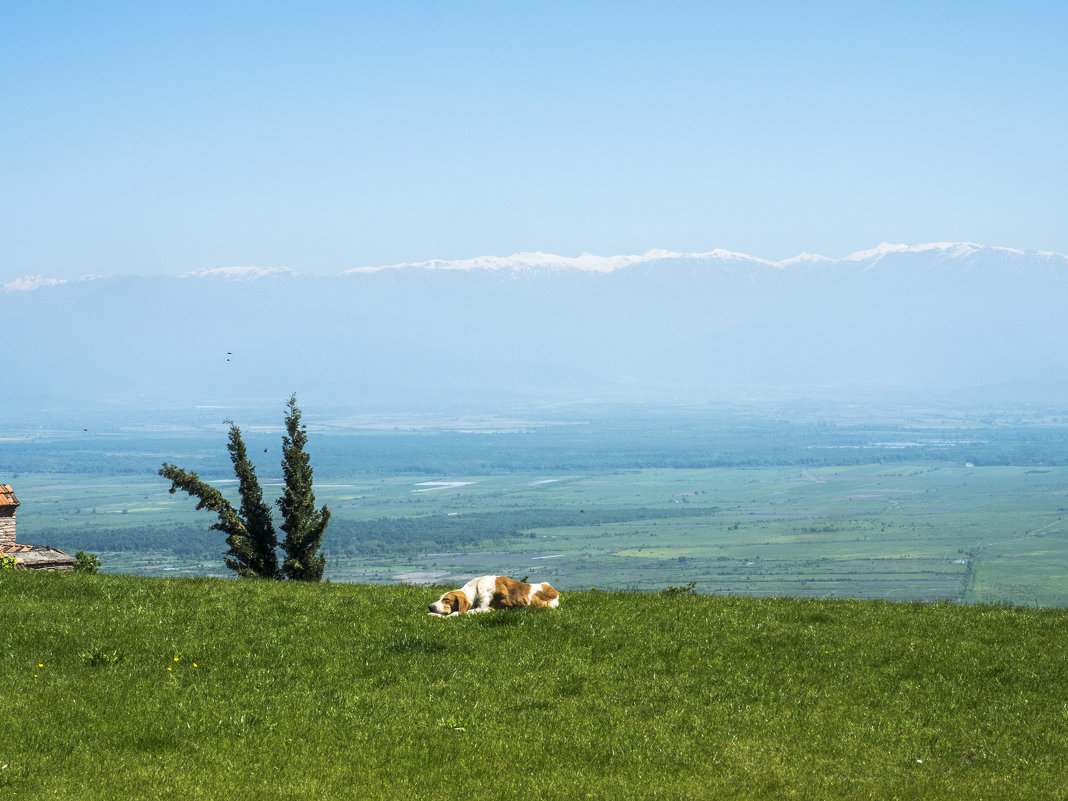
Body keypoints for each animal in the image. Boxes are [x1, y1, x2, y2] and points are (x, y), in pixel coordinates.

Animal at [427, 572, 559, 619]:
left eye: (446, 599)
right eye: (440, 598)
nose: (430, 607)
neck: (475, 589)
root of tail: (556, 592)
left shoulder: (487, 609)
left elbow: (457, 613)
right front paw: (433, 614)